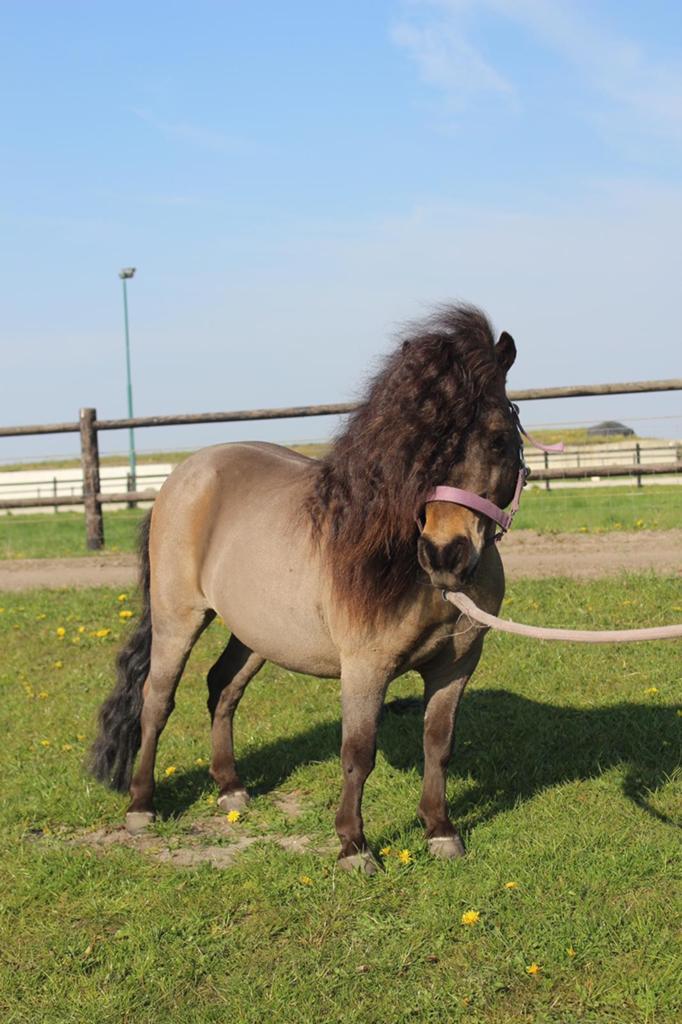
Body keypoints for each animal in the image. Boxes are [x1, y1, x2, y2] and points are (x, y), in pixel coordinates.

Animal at [89, 304, 521, 873]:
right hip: (177, 619)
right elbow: (358, 754)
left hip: (256, 632)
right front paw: (354, 847)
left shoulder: (456, 665)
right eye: (418, 447)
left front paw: (440, 830)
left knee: (222, 687)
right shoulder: (365, 669)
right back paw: (141, 806)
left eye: (497, 438)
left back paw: (230, 788)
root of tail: (184, 475)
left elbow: (438, 744)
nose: (444, 554)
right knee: (156, 701)